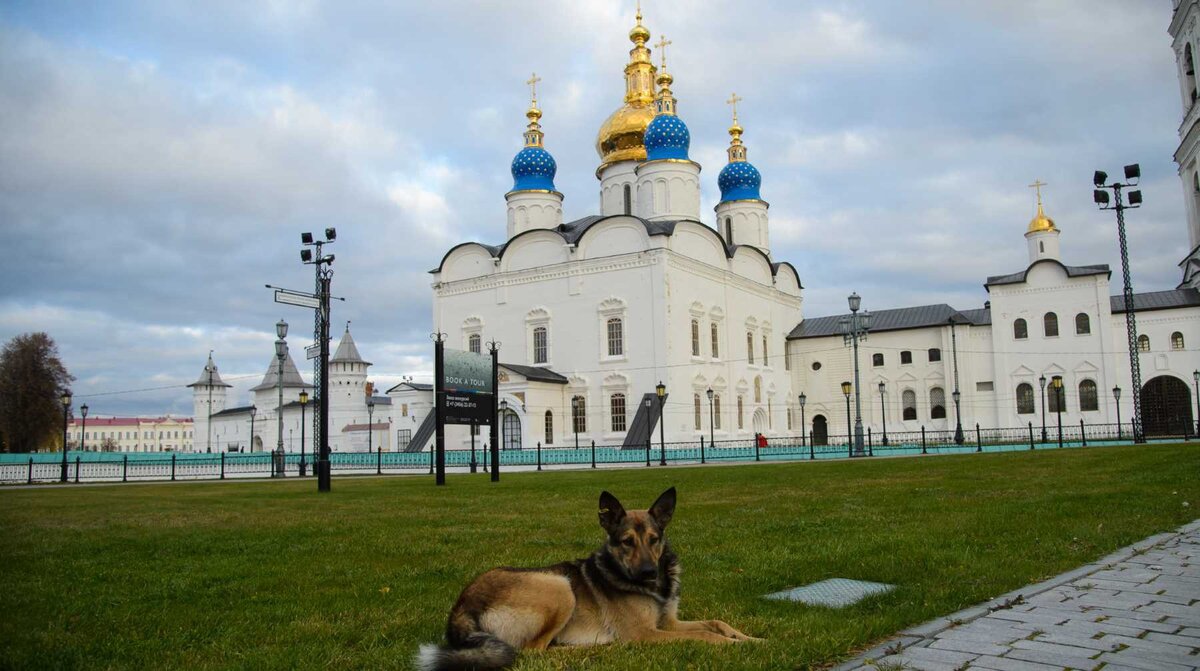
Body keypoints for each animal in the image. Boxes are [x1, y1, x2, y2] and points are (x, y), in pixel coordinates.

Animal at [417, 487, 763, 671]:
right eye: (626, 542)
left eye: (654, 539)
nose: (648, 573)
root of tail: (462, 607)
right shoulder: (645, 634)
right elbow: (704, 634)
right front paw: (732, 646)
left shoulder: (668, 622)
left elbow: (716, 622)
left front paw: (751, 639)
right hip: (559, 587)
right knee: (534, 650)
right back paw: (601, 648)